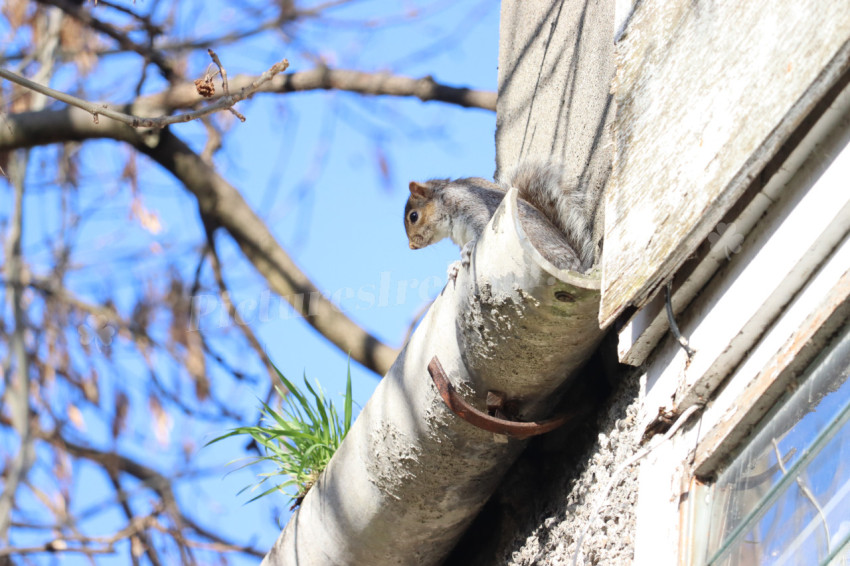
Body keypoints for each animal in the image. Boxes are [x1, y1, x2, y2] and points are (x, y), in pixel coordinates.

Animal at [404, 161, 594, 274]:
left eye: (414, 216)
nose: (412, 246)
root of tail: (577, 268)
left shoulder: (474, 205)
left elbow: (480, 231)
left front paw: (468, 248)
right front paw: (454, 267)